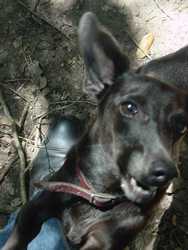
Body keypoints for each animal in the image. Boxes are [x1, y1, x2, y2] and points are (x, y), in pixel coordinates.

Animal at [2, 12, 188, 250]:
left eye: (181, 125)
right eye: (130, 108)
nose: (166, 172)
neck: (100, 193)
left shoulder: (104, 241)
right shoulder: (37, 205)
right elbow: (16, 238)